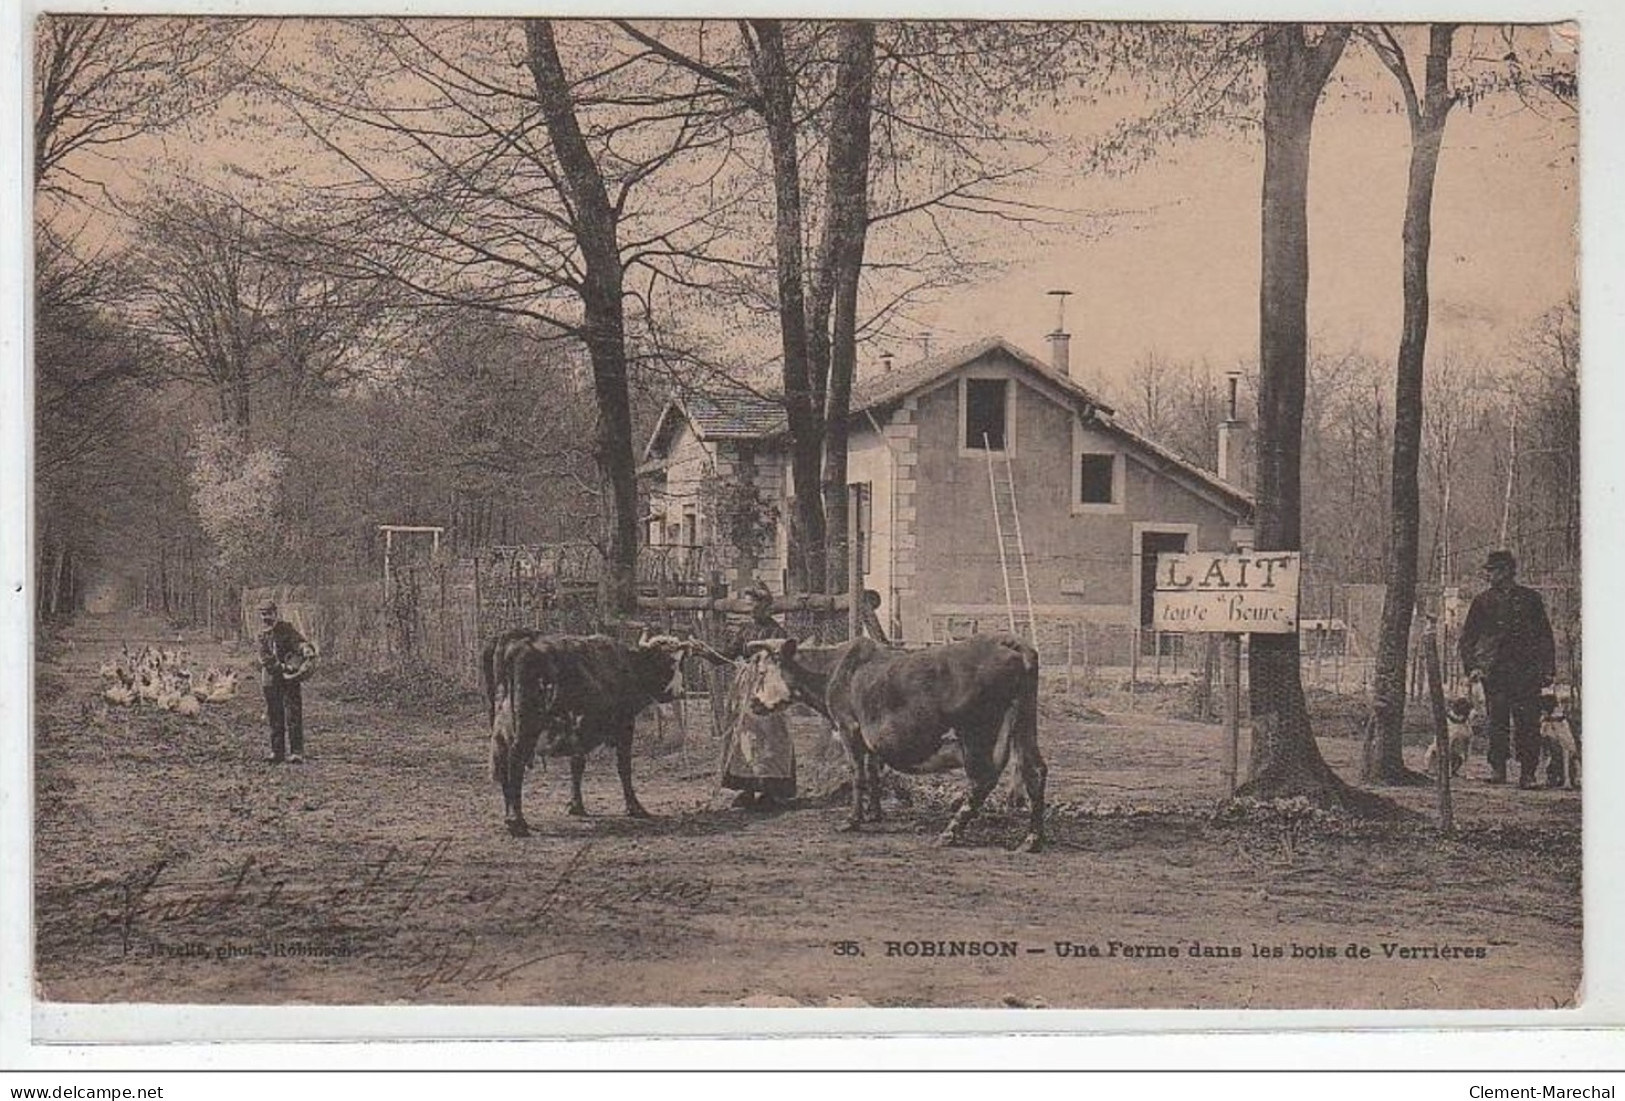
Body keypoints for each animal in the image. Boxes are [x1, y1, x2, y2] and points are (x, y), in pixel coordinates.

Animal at [474, 633, 698, 837]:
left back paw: (510, 816)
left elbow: (577, 766)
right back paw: (517, 822)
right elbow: (624, 768)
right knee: (515, 763)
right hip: (526, 728)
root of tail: (512, 639)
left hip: (501, 732)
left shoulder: (577, 733)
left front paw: (576, 806)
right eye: (672, 663)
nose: (680, 691)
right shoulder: (625, 725)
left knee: (503, 766)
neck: (627, 665)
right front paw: (635, 808)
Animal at [744, 633, 1046, 857]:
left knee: (982, 780)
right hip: (1023, 725)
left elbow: (858, 774)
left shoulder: (849, 728)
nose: (753, 703)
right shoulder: (870, 739)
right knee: (1034, 771)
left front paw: (853, 820)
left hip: (975, 734)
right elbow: (874, 771)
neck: (833, 670)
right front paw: (874, 814)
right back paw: (1032, 840)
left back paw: (949, 833)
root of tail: (1007, 643)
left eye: (762, 672)